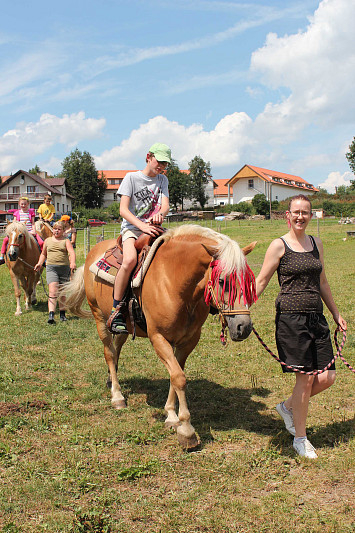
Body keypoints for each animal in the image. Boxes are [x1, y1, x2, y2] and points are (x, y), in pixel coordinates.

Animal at [60, 222, 256, 446]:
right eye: (222, 281)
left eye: (248, 280)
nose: (243, 327)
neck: (173, 281)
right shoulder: (159, 338)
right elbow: (179, 378)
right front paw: (186, 430)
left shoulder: (188, 341)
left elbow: (175, 375)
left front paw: (171, 416)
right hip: (99, 317)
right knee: (109, 352)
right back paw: (117, 396)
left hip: (124, 326)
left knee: (116, 349)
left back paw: (111, 380)